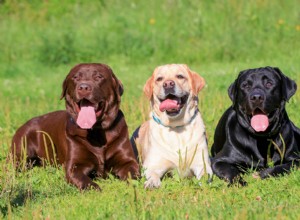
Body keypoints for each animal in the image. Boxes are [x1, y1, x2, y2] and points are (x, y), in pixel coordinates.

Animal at [10, 62, 139, 190]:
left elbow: (133, 173)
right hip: (21, 152)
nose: (83, 87)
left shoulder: (127, 161)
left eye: (98, 77)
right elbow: (84, 180)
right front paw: (95, 188)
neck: (96, 132)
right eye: (75, 77)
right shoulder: (74, 166)